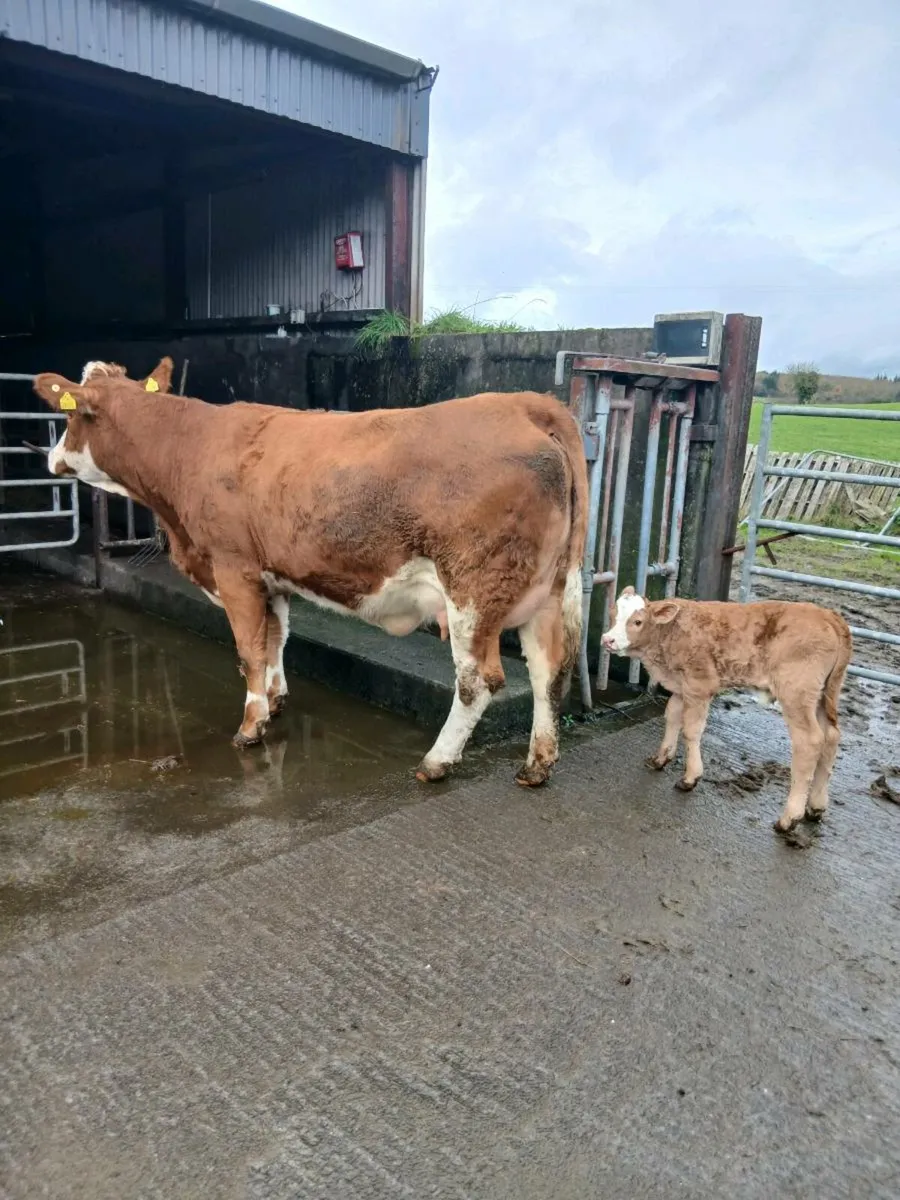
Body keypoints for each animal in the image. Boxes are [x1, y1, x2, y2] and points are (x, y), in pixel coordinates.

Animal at [34, 358, 588, 787]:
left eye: (72, 415)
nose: (50, 457)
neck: (187, 451)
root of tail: (524, 403)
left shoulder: (232, 568)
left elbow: (249, 650)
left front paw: (251, 725)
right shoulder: (271, 575)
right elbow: (276, 638)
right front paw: (276, 700)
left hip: (473, 588)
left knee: (479, 679)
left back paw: (437, 761)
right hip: (550, 588)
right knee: (548, 669)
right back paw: (537, 764)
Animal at [601, 587, 852, 833]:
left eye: (638, 621)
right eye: (613, 615)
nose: (607, 639)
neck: (670, 632)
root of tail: (828, 615)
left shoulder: (699, 685)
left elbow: (691, 730)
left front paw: (691, 777)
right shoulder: (681, 687)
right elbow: (672, 716)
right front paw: (660, 758)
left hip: (796, 693)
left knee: (809, 742)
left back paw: (789, 819)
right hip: (822, 694)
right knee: (831, 737)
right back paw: (816, 807)